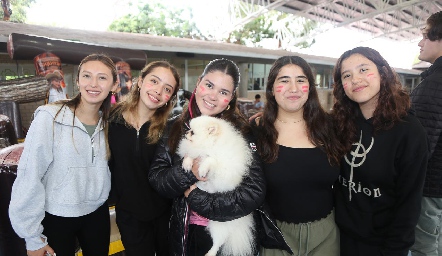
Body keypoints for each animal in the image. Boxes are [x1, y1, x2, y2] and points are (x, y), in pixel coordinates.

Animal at [177, 116, 254, 256]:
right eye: (189, 129)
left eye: (193, 132)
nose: (186, 132)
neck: (210, 145)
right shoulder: (194, 150)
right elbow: (190, 154)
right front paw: (187, 163)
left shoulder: (223, 170)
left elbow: (210, 160)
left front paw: (202, 169)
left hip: (219, 224)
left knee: (218, 242)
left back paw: (211, 253)